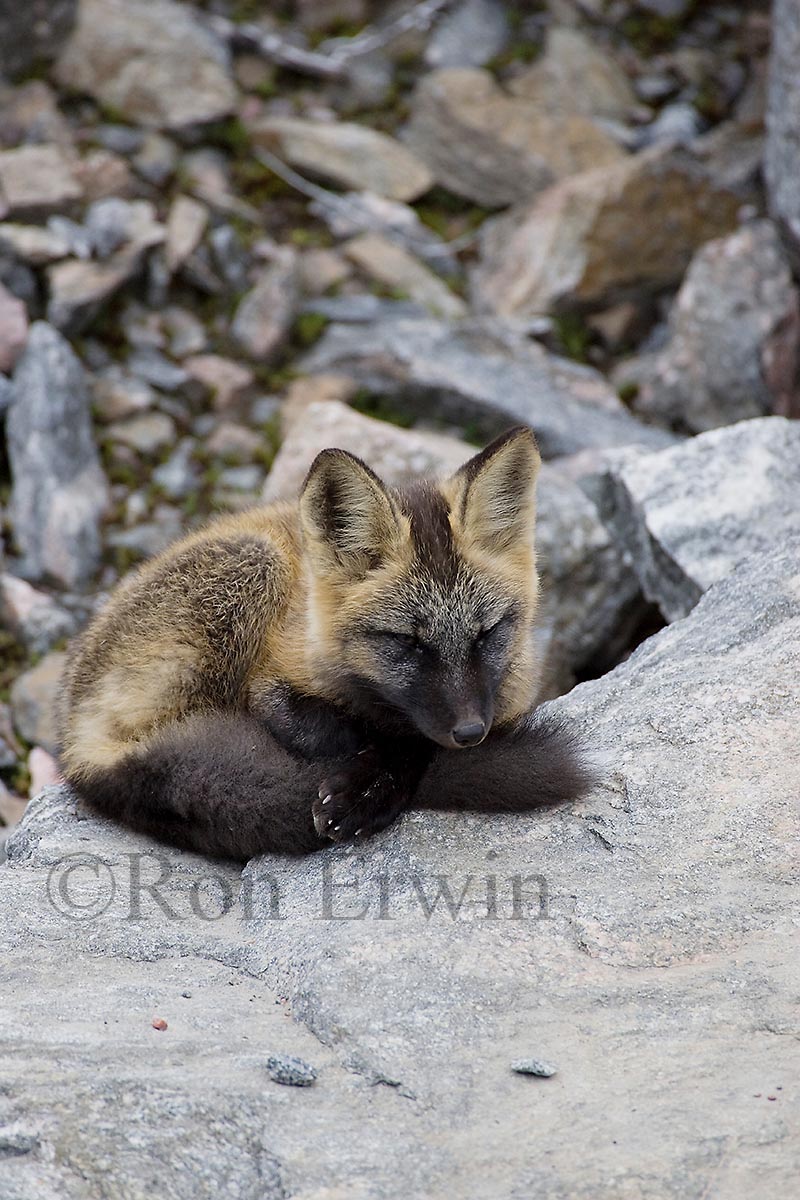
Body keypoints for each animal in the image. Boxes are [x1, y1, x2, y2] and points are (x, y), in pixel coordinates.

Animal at [57, 426, 596, 861]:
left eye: (486, 633)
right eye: (407, 642)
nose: (469, 733)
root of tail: (72, 745)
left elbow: (412, 740)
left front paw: (371, 788)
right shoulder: (270, 689)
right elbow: (378, 734)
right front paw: (364, 786)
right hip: (255, 563)